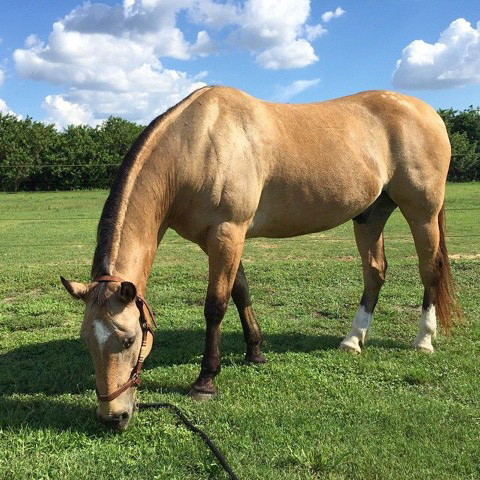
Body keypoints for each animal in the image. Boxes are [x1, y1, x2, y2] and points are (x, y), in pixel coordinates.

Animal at [61, 86, 458, 432]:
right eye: (86, 340)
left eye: (129, 340)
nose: (113, 417)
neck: (198, 142)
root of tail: (428, 112)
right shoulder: (221, 240)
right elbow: (241, 293)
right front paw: (255, 352)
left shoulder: (227, 233)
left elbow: (216, 306)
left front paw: (206, 381)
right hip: (371, 215)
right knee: (375, 273)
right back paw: (352, 340)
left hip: (422, 211)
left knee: (429, 271)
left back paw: (424, 340)